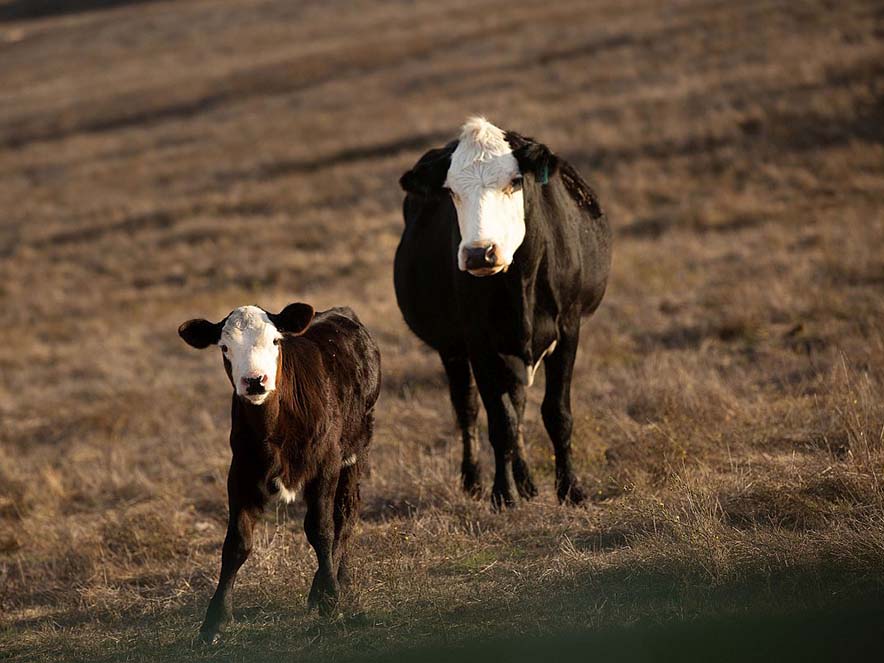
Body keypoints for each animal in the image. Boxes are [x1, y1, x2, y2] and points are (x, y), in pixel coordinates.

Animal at [179, 304, 380, 644]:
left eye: (275, 340)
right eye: (224, 347)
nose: (254, 381)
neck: (274, 427)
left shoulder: (325, 464)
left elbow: (321, 530)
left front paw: (329, 600)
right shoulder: (240, 472)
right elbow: (237, 543)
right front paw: (215, 620)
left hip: (357, 449)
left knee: (346, 513)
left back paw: (335, 583)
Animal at [394, 116, 608, 508]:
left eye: (514, 181)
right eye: (451, 192)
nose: (480, 253)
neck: (520, 281)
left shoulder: (569, 327)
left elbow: (556, 412)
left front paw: (570, 489)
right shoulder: (477, 341)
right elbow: (498, 419)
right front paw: (502, 493)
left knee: (518, 402)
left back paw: (526, 481)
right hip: (453, 348)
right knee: (467, 407)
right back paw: (475, 480)